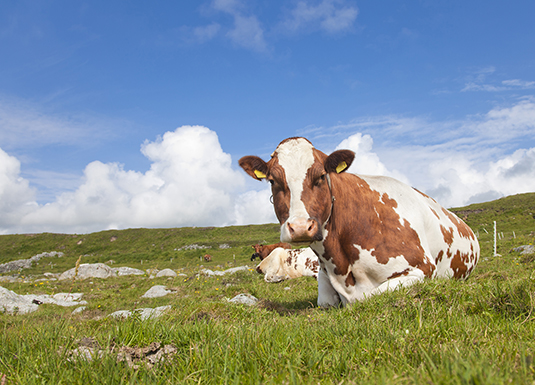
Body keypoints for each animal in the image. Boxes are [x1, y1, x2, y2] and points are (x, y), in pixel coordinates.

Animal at [240, 136, 482, 308]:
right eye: (273, 181)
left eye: (321, 176)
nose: (300, 227)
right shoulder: (324, 274)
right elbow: (324, 301)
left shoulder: (421, 269)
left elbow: (371, 296)